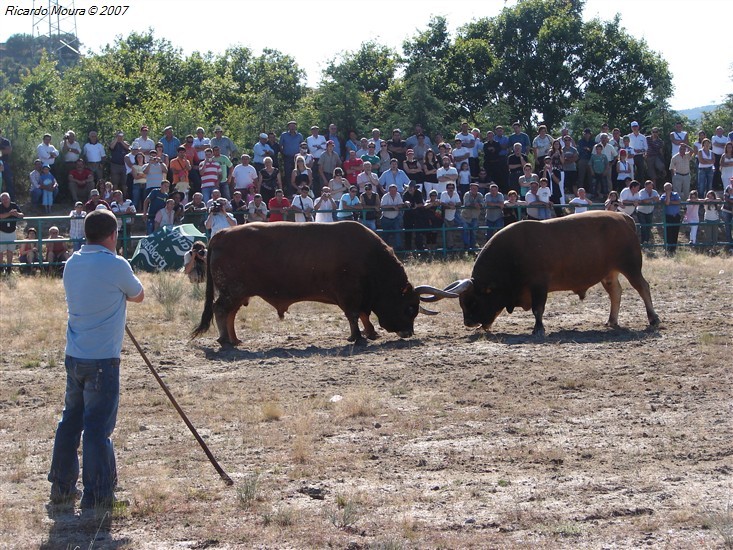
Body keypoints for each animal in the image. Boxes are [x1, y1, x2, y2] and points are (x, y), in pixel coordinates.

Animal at [190, 222, 452, 348]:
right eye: (409, 308)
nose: (408, 332)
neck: (369, 257)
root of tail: (221, 234)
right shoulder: (349, 295)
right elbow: (354, 315)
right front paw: (357, 337)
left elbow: (364, 314)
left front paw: (370, 333)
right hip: (232, 291)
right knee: (221, 310)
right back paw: (226, 340)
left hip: (238, 292)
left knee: (230, 313)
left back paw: (234, 339)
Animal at [420, 211, 660, 338]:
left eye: (474, 301)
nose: (468, 322)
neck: (512, 252)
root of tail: (622, 217)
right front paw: (484, 326)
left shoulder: (538, 286)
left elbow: (538, 309)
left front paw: (538, 329)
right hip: (609, 273)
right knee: (616, 293)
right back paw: (611, 320)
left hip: (630, 267)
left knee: (643, 287)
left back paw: (653, 318)